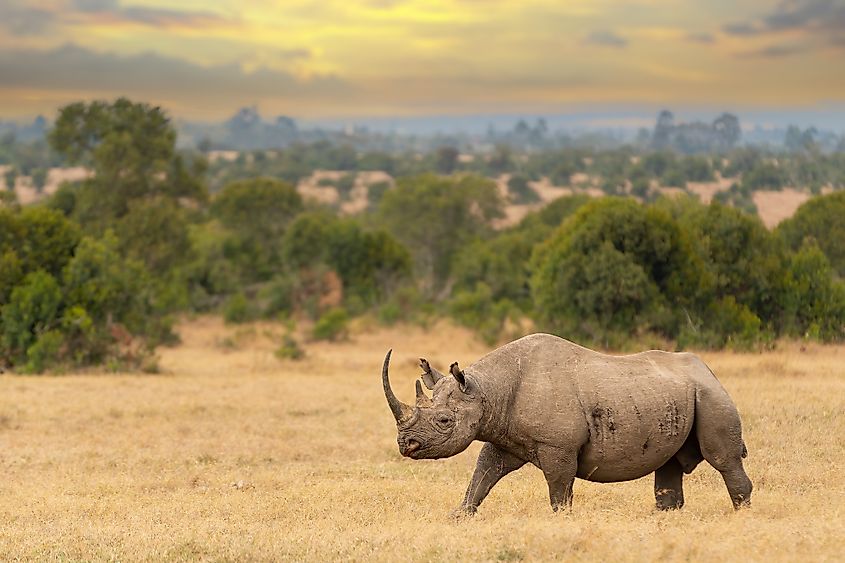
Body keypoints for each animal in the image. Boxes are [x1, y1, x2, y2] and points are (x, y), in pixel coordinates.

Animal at [381, 334, 752, 514]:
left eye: (444, 420)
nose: (405, 445)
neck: (487, 390)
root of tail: (708, 369)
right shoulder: (502, 436)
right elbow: (481, 476)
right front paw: (460, 515)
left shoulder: (557, 446)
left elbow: (559, 489)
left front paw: (561, 519)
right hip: (678, 395)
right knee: (671, 465)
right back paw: (666, 517)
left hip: (711, 395)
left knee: (724, 459)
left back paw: (741, 515)